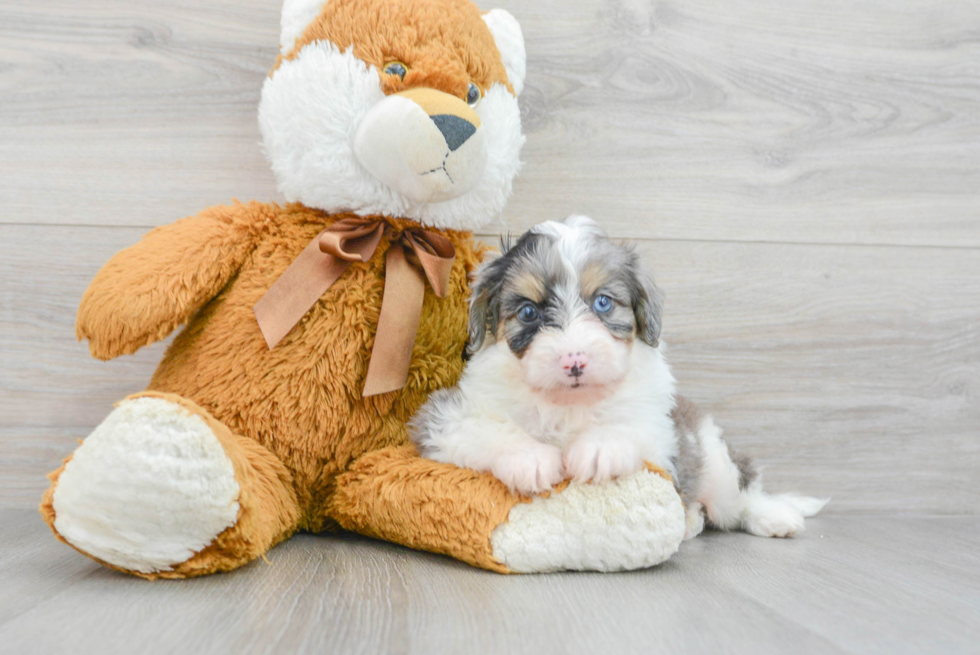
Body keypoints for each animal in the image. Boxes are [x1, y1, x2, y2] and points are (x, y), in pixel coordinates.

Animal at [410, 215, 832, 540]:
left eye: (602, 303)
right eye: (529, 312)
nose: (574, 361)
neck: (569, 404)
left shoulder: (662, 430)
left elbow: (629, 424)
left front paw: (600, 449)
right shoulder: (443, 417)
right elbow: (487, 428)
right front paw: (530, 458)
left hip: (713, 458)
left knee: (741, 495)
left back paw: (772, 516)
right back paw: (691, 521)